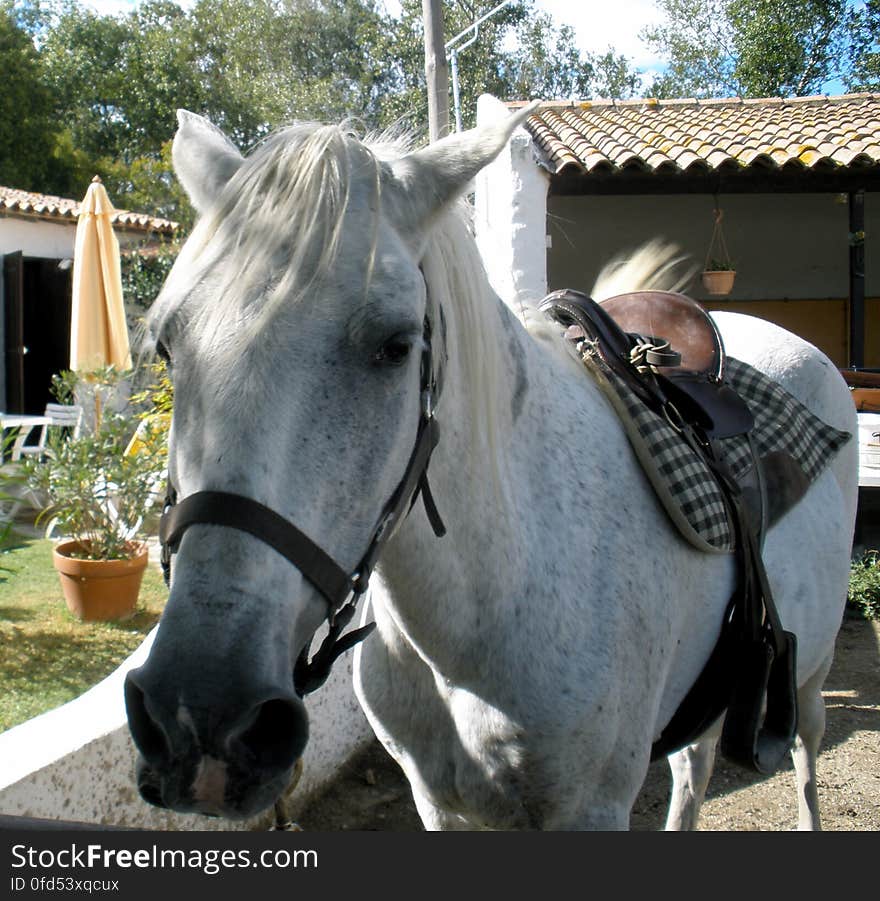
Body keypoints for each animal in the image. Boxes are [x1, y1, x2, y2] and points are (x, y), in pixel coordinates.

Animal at [120, 103, 856, 828]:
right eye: (168, 346)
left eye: (396, 345)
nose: (199, 718)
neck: (484, 612)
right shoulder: (434, 800)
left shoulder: (593, 809)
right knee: (694, 766)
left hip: (811, 672)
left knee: (806, 750)